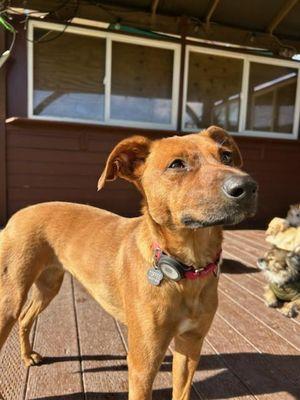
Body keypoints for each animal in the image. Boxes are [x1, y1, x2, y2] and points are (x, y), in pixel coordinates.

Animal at [0, 127, 258, 400]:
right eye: (177, 164)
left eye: (227, 156)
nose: (248, 187)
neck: (186, 268)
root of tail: (19, 213)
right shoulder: (143, 362)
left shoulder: (190, 346)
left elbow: (182, 391)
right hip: (11, 297)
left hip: (48, 286)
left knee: (25, 317)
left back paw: (28, 356)